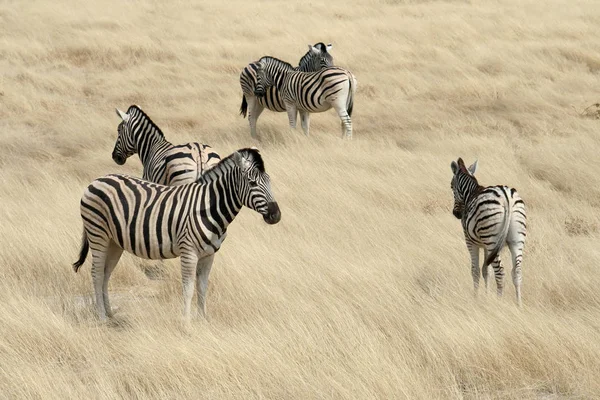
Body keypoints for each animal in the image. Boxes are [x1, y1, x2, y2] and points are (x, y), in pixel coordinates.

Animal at [72, 148, 282, 324]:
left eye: (270, 180)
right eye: (252, 183)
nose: (276, 215)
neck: (209, 207)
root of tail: (98, 179)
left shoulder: (209, 255)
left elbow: (202, 287)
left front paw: (203, 320)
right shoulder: (189, 251)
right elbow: (188, 289)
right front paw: (186, 324)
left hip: (114, 241)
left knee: (106, 274)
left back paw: (110, 314)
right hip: (97, 233)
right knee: (97, 273)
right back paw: (101, 318)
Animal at [448, 157, 528, 306]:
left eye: (451, 186)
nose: (456, 214)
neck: (470, 193)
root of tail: (506, 197)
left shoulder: (471, 242)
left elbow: (476, 271)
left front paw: (476, 298)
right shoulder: (485, 245)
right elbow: (486, 271)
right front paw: (485, 296)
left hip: (492, 239)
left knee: (500, 272)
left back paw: (499, 302)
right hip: (516, 240)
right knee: (517, 272)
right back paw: (519, 304)